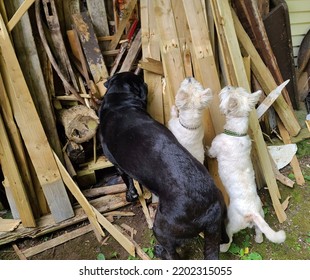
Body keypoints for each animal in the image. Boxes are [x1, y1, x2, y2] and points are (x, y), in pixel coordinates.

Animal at [99, 71, 228, 260]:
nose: (145, 83)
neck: (120, 103)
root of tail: (211, 208)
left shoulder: (116, 163)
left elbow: (127, 180)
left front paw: (131, 196)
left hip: (161, 226)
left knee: (173, 254)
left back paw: (160, 252)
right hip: (220, 221)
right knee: (223, 239)